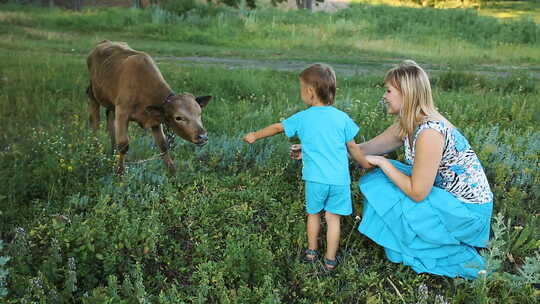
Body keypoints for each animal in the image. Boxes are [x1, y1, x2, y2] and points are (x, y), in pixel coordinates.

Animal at [86, 40, 211, 173]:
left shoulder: (154, 118)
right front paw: (120, 173)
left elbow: (163, 145)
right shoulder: (122, 112)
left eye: (199, 113)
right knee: (95, 121)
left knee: (110, 119)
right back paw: (95, 151)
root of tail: (104, 42)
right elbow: (124, 145)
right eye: (178, 118)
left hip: (110, 102)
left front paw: (172, 173)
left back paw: (113, 152)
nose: (203, 136)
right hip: (92, 92)